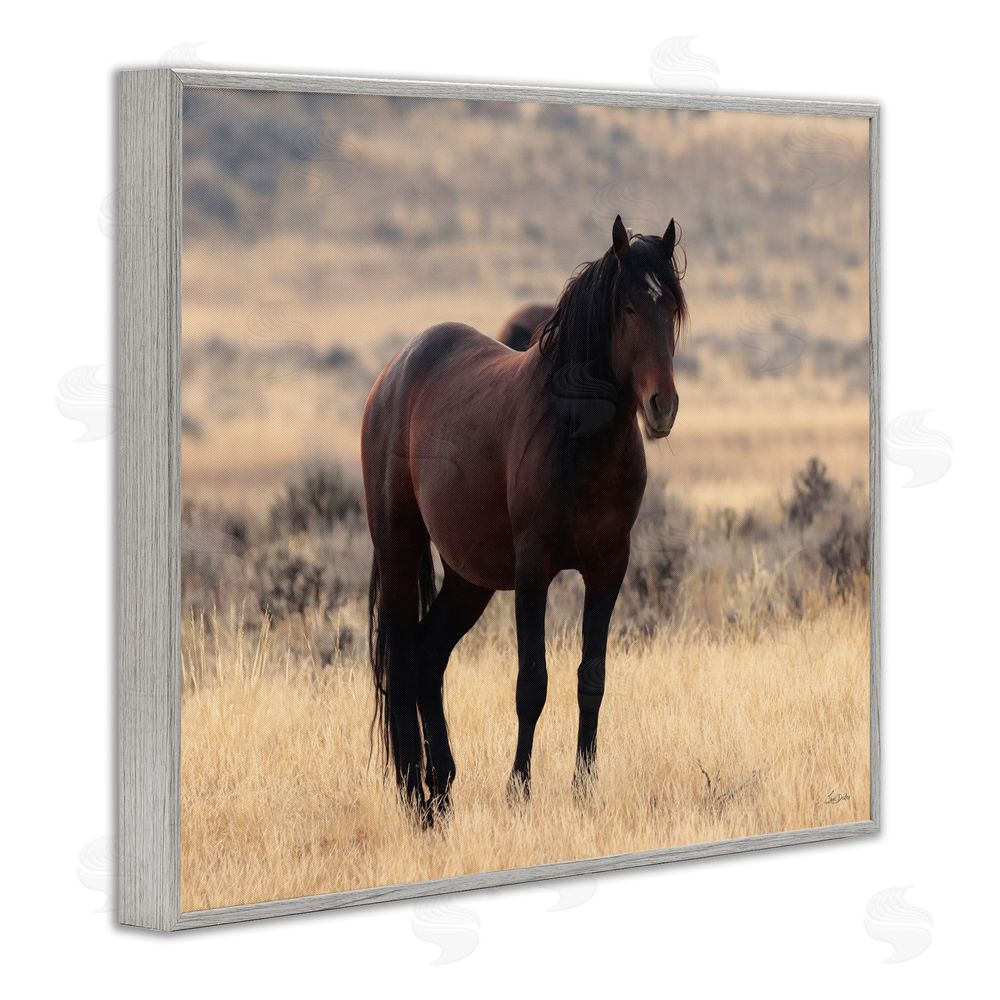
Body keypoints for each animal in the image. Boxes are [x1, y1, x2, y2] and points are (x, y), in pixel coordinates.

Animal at [361, 214, 687, 823]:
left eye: (673, 309)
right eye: (628, 308)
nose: (662, 407)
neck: (579, 442)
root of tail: (393, 373)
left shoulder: (609, 568)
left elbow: (591, 678)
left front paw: (584, 788)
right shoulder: (534, 571)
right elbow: (531, 683)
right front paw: (519, 789)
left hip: (468, 579)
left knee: (429, 657)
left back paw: (443, 788)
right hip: (399, 549)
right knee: (404, 658)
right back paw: (416, 796)